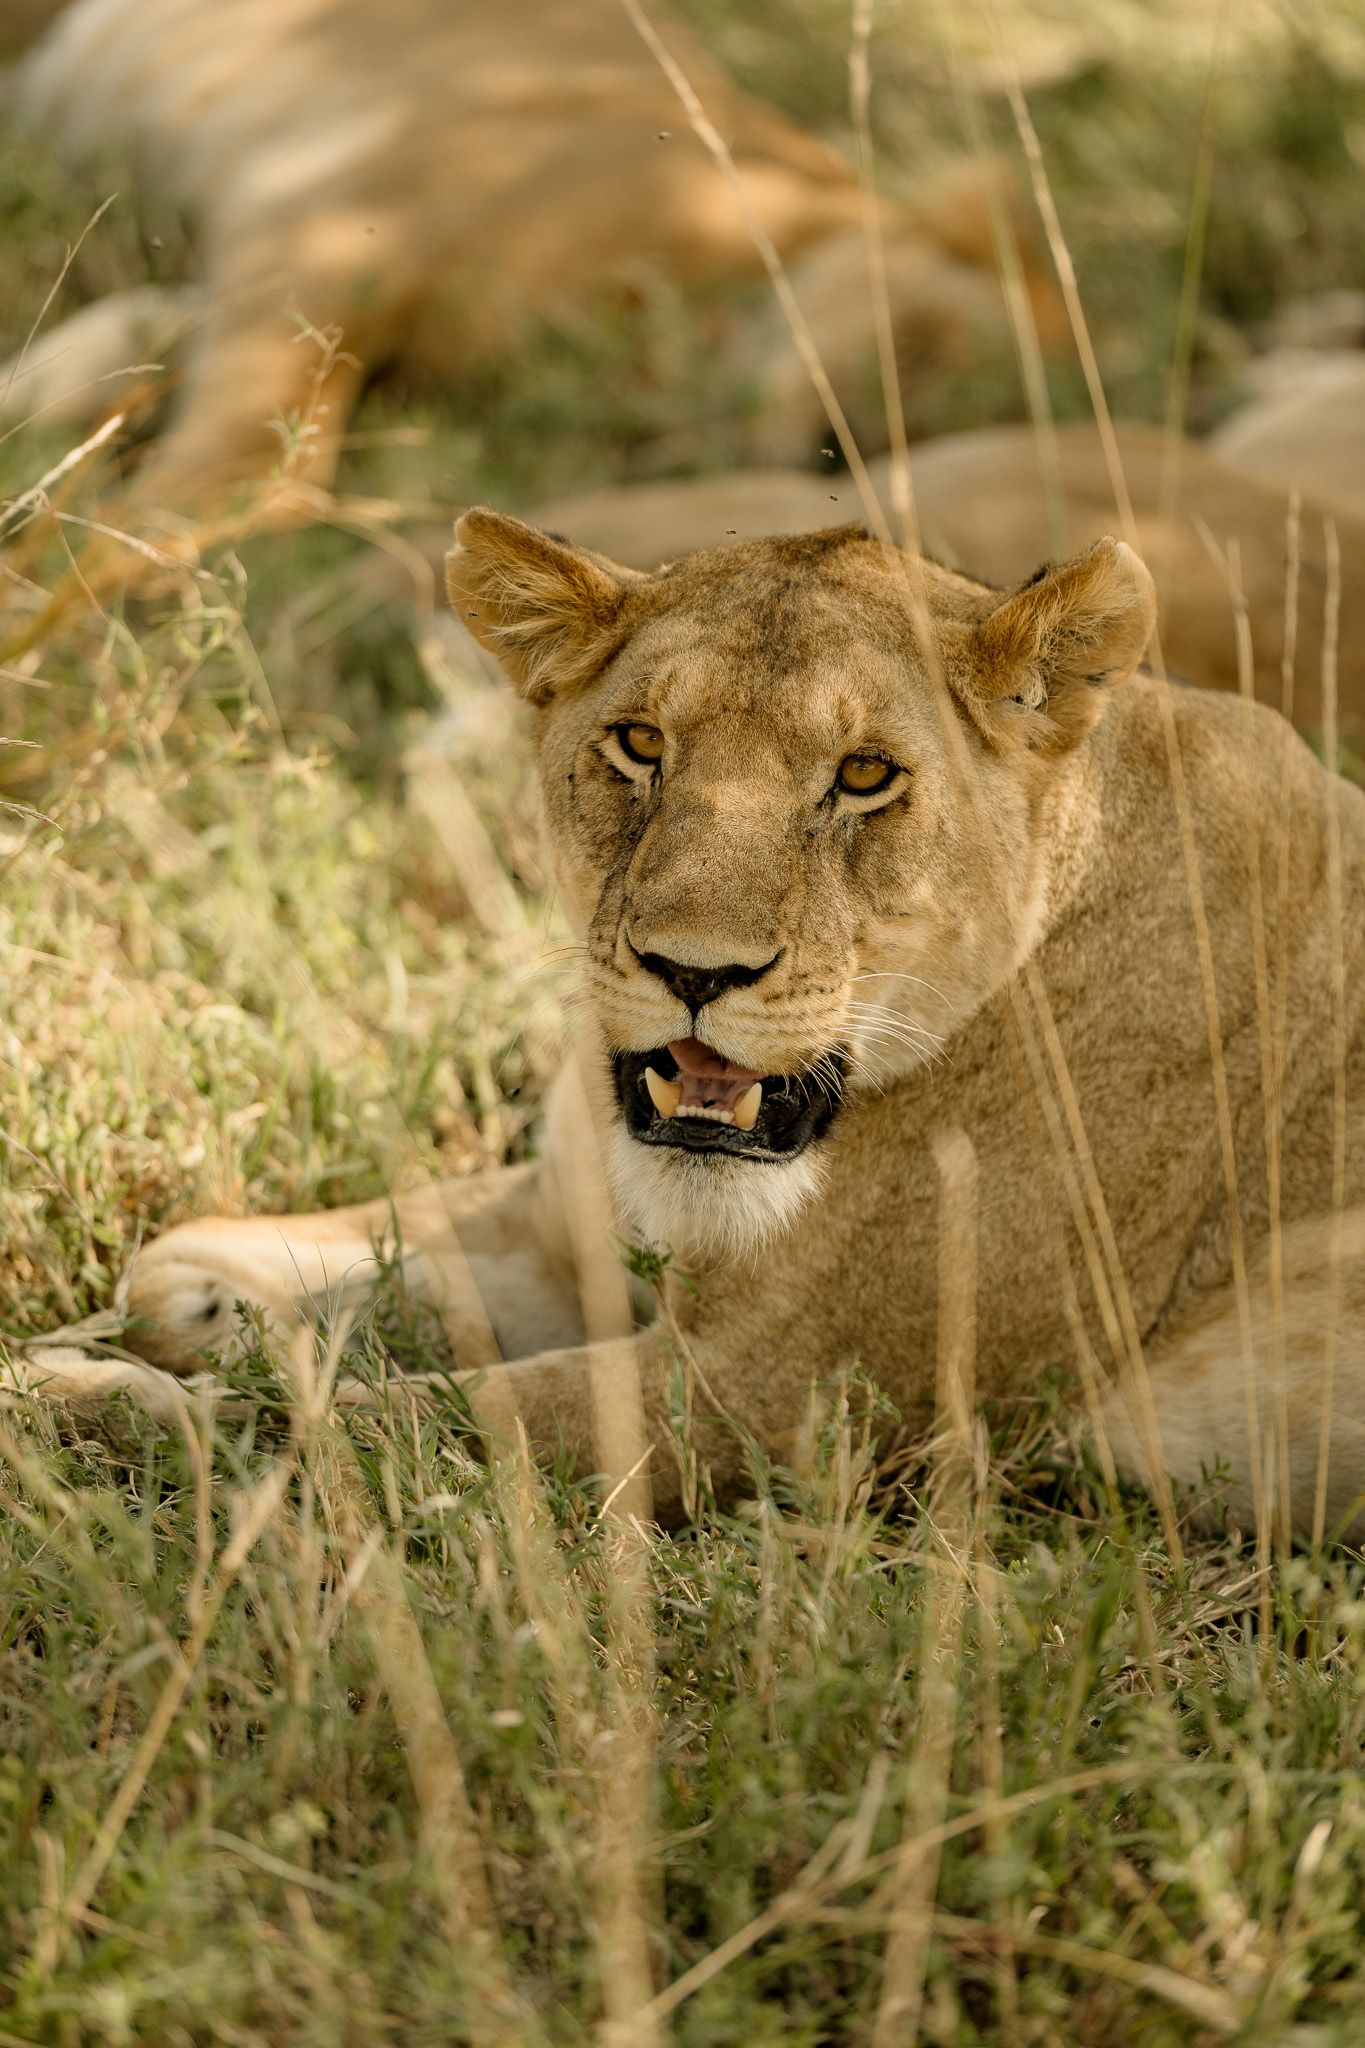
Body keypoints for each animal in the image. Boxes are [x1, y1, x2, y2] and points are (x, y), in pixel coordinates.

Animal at [26, 509, 1365, 1542]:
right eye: (640, 743)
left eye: (865, 774)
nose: (692, 968)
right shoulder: (562, 1232)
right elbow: (316, 1260)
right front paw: (214, 1308)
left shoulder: (778, 1399)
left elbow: (339, 1426)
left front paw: (57, 1404)